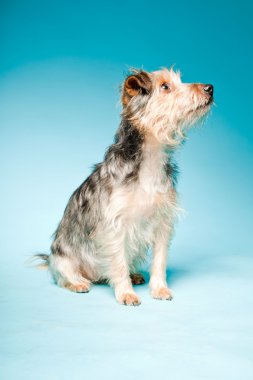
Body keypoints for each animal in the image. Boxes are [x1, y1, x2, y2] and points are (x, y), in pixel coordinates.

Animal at [35, 67, 213, 306]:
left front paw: (159, 288)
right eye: (165, 86)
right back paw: (78, 283)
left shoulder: (162, 223)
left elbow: (159, 261)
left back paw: (134, 275)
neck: (150, 160)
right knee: (65, 275)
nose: (210, 88)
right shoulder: (114, 226)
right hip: (63, 258)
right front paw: (126, 293)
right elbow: (118, 263)